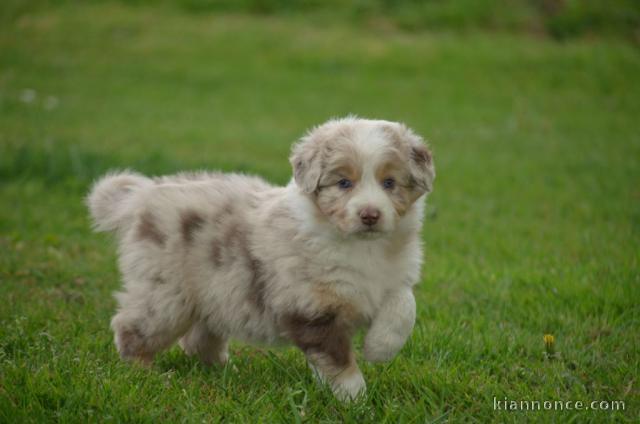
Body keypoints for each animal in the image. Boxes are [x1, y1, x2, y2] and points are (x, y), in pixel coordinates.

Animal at [86, 117, 436, 400]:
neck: (362, 247)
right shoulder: (311, 308)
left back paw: (225, 373)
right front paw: (356, 400)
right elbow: (338, 363)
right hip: (166, 294)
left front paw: (380, 348)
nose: (370, 215)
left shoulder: (392, 278)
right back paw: (146, 374)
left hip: (215, 294)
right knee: (131, 326)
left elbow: (404, 305)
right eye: (344, 183)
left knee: (198, 338)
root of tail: (141, 195)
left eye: (389, 183)